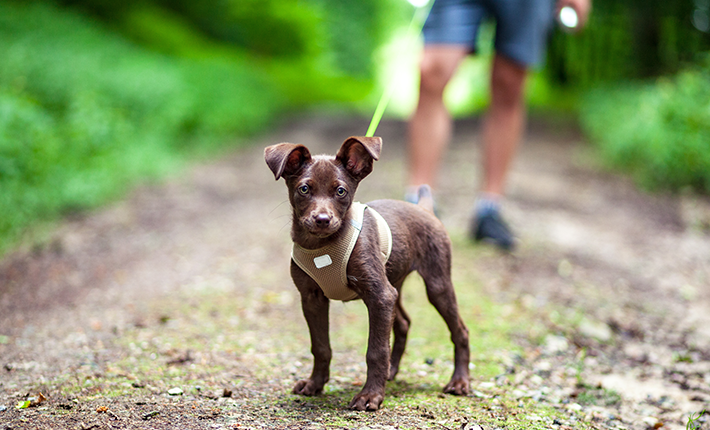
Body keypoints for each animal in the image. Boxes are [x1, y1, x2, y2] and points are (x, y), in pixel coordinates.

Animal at [264, 137, 470, 410]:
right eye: (304, 189)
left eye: (341, 191)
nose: (322, 219)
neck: (322, 246)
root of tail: (425, 210)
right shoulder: (311, 298)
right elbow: (320, 346)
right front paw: (315, 384)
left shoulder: (379, 296)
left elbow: (376, 350)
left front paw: (370, 395)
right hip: (394, 283)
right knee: (403, 323)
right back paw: (392, 372)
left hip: (436, 284)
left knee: (460, 331)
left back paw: (459, 382)